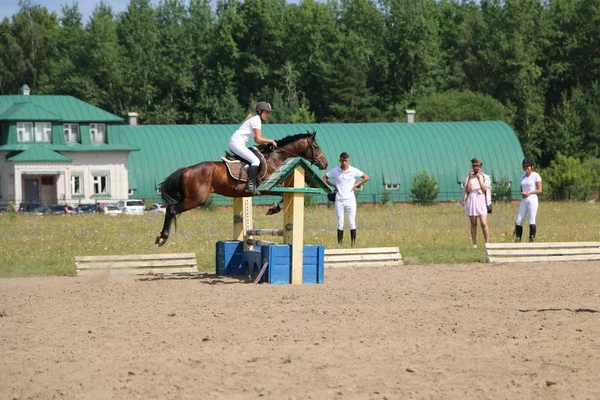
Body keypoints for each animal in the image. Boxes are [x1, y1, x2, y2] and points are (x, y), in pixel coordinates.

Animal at [156, 130, 328, 247]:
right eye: (316, 146)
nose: (325, 164)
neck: (275, 158)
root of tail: (186, 169)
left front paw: (273, 208)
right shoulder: (269, 187)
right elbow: (281, 196)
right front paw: (274, 208)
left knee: (171, 209)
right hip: (196, 199)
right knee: (171, 210)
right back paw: (162, 237)